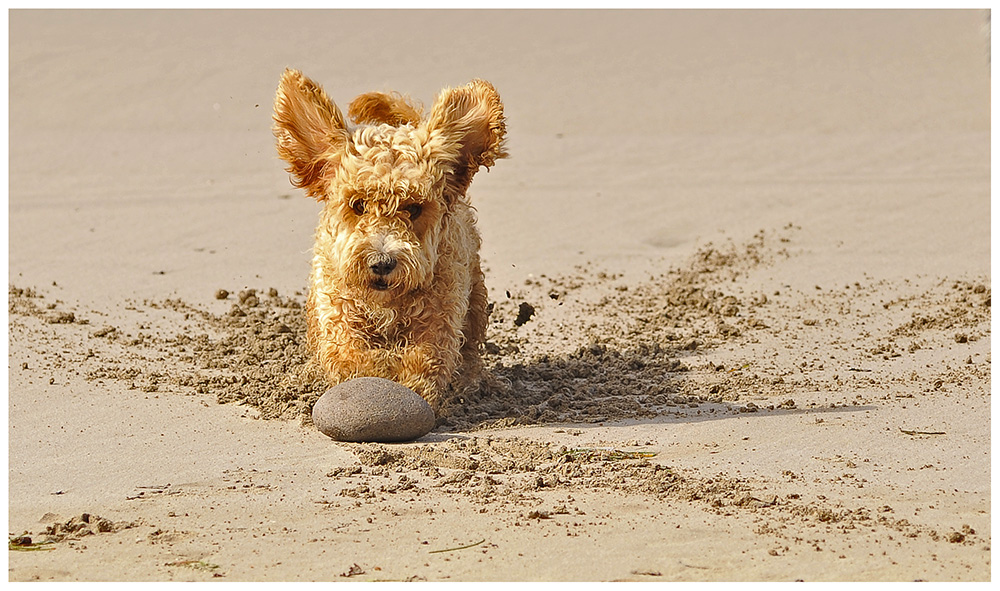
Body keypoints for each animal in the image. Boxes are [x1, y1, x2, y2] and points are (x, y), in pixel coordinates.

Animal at [272, 69, 508, 412]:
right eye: (357, 205)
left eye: (414, 208)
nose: (382, 262)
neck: (386, 304)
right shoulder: (338, 312)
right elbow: (352, 357)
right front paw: (379, 371)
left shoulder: (441, 314)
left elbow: (426, 358)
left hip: (474, 292)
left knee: (471, 346)